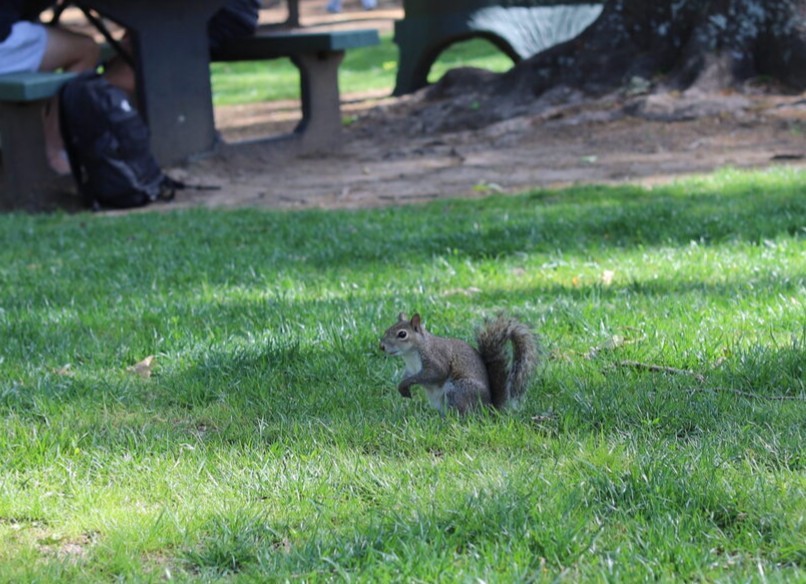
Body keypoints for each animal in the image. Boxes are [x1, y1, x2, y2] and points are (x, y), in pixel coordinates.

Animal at [379, 312, 539, 415]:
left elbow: (434, 374)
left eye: (402, 334)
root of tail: (488, 407)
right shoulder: (410, 368)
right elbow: (408, 375)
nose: (381, 346)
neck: (411, 355)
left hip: (457, 390)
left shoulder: (436, 360)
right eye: (387, 329)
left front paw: (406, 385)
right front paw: (402, 386)